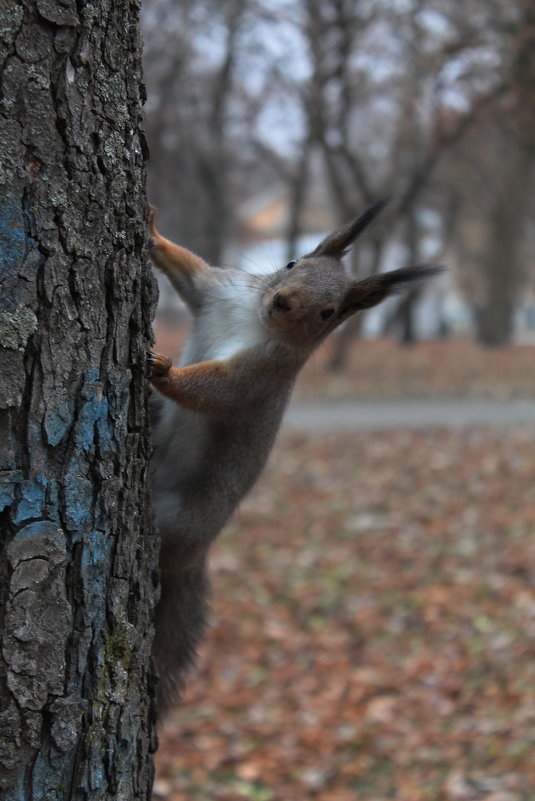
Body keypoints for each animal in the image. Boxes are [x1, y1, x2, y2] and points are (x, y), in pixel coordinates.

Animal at [146, 197, 440, 708]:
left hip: (179, 524)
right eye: (291, 263)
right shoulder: (220, 291)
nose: (282, 301)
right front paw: (150, 229)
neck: (253, 316)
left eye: (327, 313)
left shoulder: (263, 374)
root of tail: (196, 554)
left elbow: (217, 390)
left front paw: (164, 372)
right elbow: (190, 273)